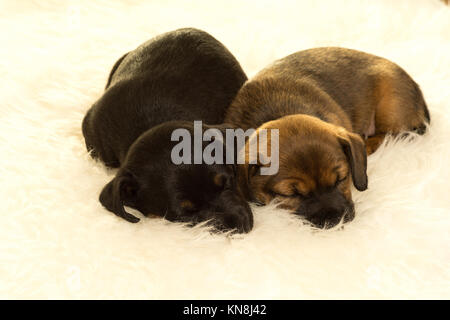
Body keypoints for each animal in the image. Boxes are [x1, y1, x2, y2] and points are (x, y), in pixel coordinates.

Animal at [225, 47, 428, 228]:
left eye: (341, 179)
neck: (280, 112)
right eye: (291, 194)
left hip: (392, 104)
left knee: (390, 134)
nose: (335, 220)